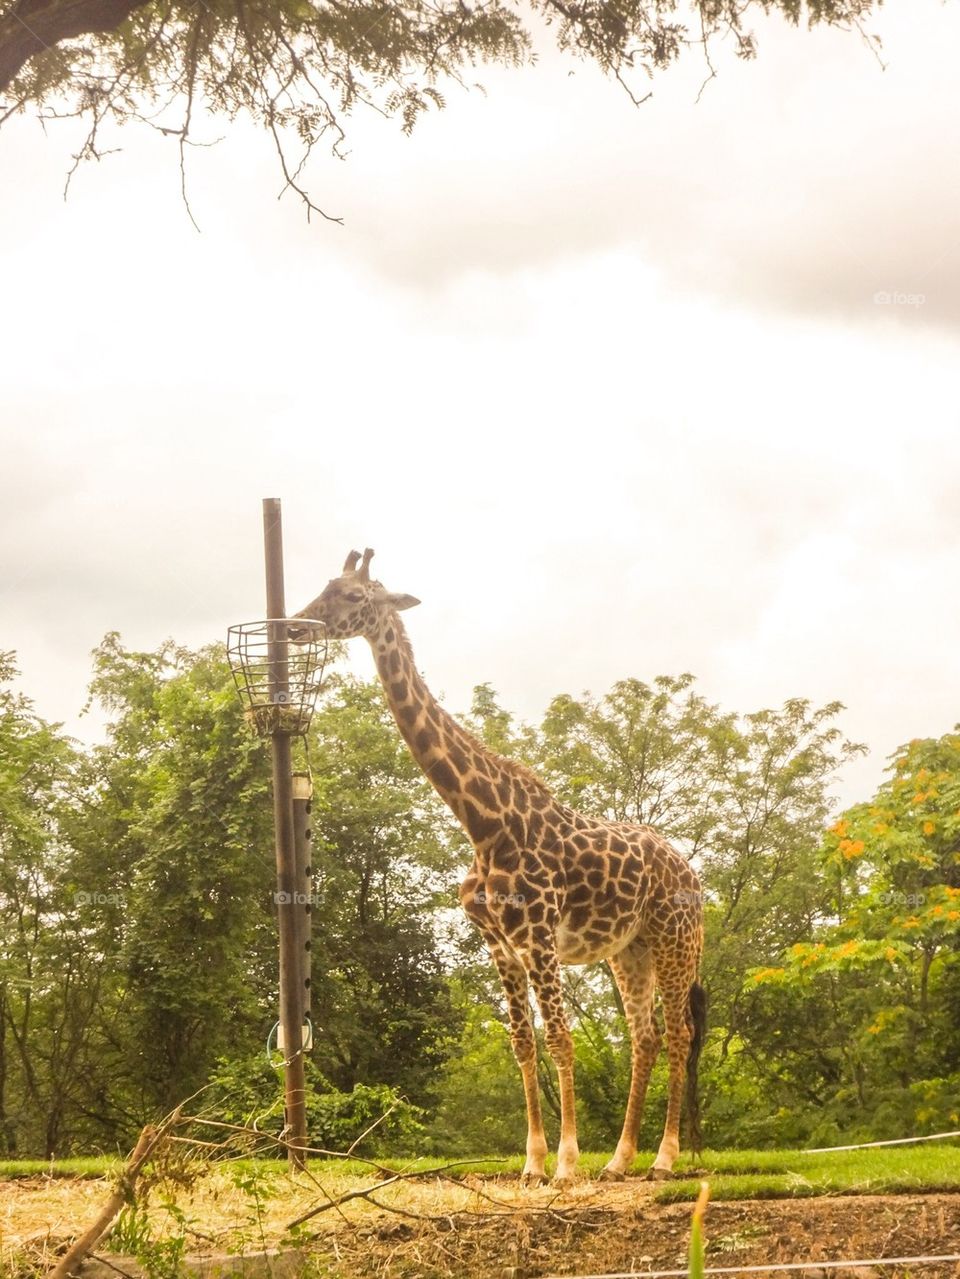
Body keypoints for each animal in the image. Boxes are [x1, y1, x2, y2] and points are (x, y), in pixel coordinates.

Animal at [292, 544, 705, 1181]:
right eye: (324, 586)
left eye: (355, 596)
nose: (294, 626)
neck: (483, 822)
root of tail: (691, 873)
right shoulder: (499, 944)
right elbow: (523, 1044)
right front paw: (533, 1164)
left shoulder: (538, 936)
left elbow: (559, 1038)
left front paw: (565, 1164)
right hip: (627, 950)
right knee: (646, 1036)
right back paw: (619, 1161)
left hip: (673, 939)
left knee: (680, 1033)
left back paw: (661, 1159)